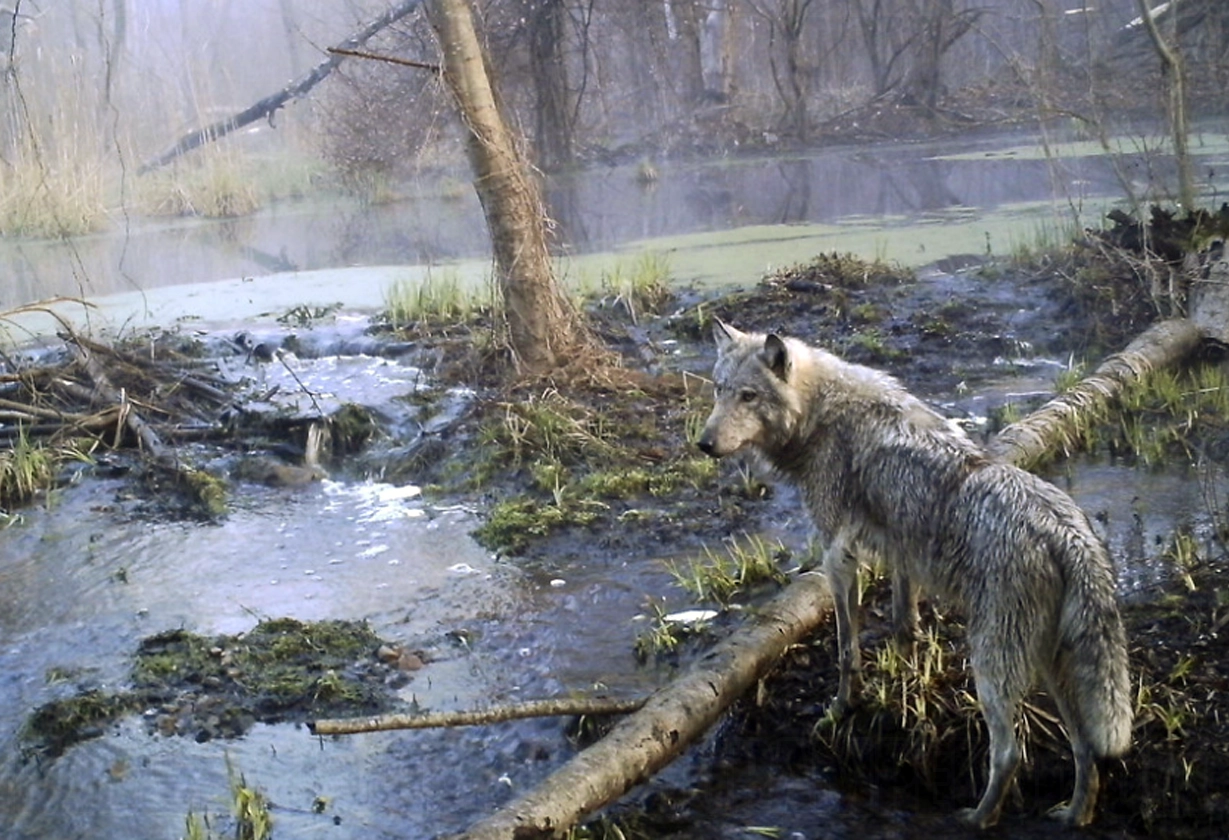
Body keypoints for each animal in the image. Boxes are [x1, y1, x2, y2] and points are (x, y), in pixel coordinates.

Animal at [697, 319, 1132, 828]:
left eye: (748, 396)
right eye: (719, 390)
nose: (704, 444)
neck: (820, 414)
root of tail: (1067, 532)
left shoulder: (839, 556)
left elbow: (846, 650)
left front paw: (842, 709)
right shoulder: (901, 553)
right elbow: (904, 627)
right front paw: (902, 690)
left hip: (992, 668)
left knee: (1009, 754)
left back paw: (976, 819)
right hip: (1050, 667)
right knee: (1086, 749)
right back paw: (1074, 816)